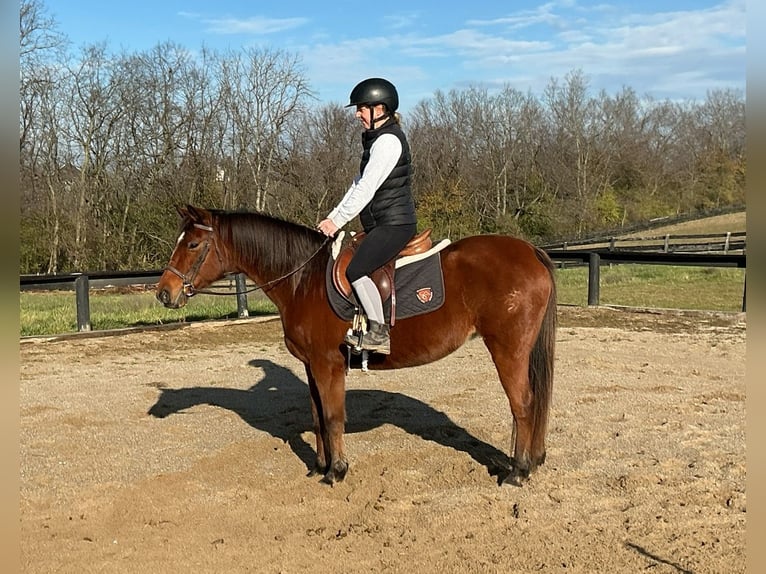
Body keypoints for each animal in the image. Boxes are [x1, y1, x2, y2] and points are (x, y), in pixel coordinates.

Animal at [156, 205, 557, 486]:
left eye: (193, 244)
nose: (163, 293)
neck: (304, 279)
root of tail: (529, 250)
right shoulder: (310, 366)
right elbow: (317, 416)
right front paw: (319, 467)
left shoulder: (327, 365)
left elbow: (333, 417)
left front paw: (337, 471)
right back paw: (532, 462)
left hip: (508, 350)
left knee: (524, 405)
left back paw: (518, 472)